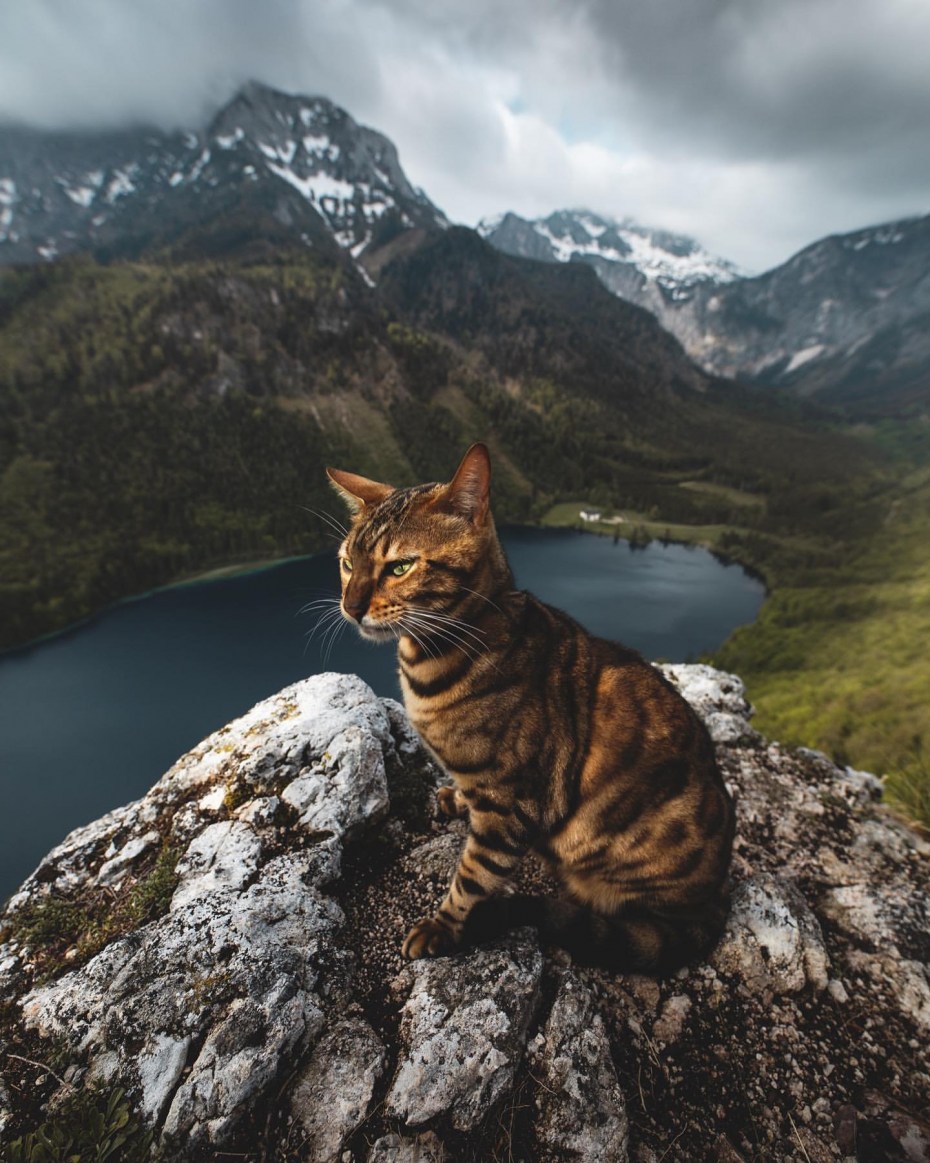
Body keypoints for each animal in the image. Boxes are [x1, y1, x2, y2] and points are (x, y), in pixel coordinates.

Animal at [327, 444, 734, 972]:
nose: (350, 606)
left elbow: (474, 876)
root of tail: (717, 897)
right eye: (345, 563)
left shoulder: (514, 804)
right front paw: (458, 799)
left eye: (400, 567)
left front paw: (445, 927)